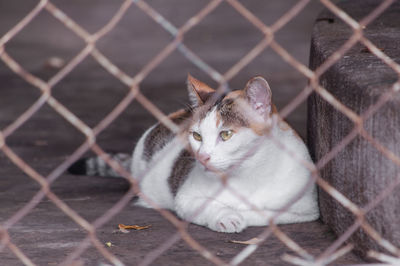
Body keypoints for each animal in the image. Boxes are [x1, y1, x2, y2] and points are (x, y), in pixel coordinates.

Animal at [68, 75, 318, 233]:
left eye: (226, 134)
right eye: (197, 136)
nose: (202, 157)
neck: (249, 174)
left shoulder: (306, 208)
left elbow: (268, 214)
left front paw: (242, 213)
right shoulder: (185, 196)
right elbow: (207, 206)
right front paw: (227, 217)